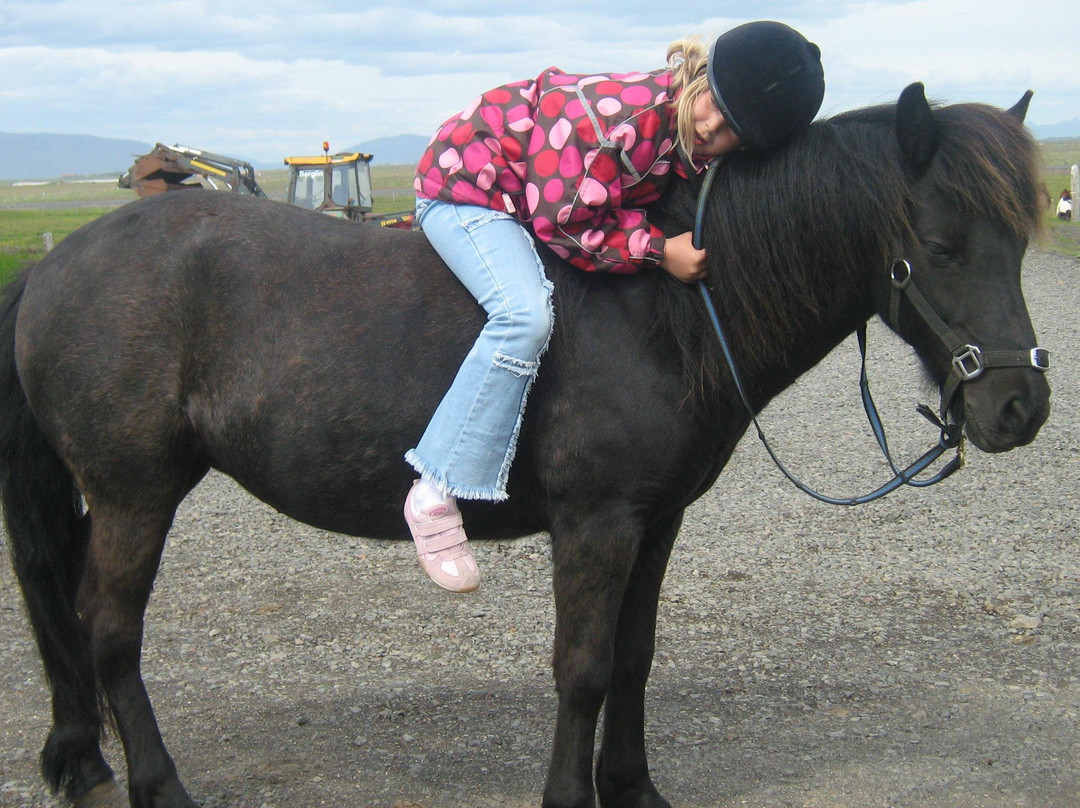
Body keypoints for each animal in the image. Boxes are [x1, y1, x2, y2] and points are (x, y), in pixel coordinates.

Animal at [0, 83, 1050, 808]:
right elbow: (581, 667)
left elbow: (633, 657)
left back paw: (83, 759)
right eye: (943, 245)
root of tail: (55, 262)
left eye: (1020, 240)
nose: (1020, 407)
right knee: (107, 628)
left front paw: (633, 788)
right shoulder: (596, 524)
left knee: (71, 613)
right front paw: (573, 794)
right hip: (135, 493)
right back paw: (159, 785)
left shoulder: (654, 522)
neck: (667, 309)